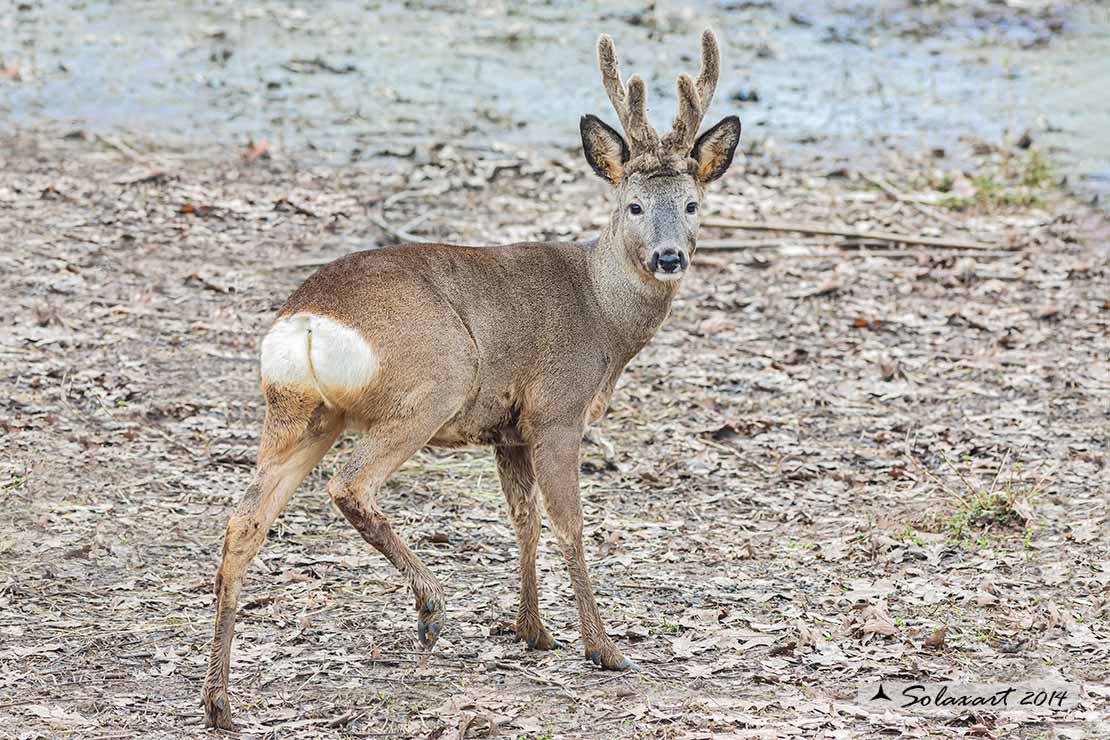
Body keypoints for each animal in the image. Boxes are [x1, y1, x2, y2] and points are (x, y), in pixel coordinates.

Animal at [202, 27, 737, 727]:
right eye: (635, 205)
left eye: (694, 204)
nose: (669, 256)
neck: (602, 314)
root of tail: (308, 321)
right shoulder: (556, 409)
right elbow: (569, 524)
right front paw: (603, 649)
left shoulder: (508, 429)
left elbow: (524, 521)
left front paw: (533, 631)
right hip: (435, 381)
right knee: (351, 485)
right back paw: (430, 608)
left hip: (299, 413)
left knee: (243, 524)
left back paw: (218, 703)